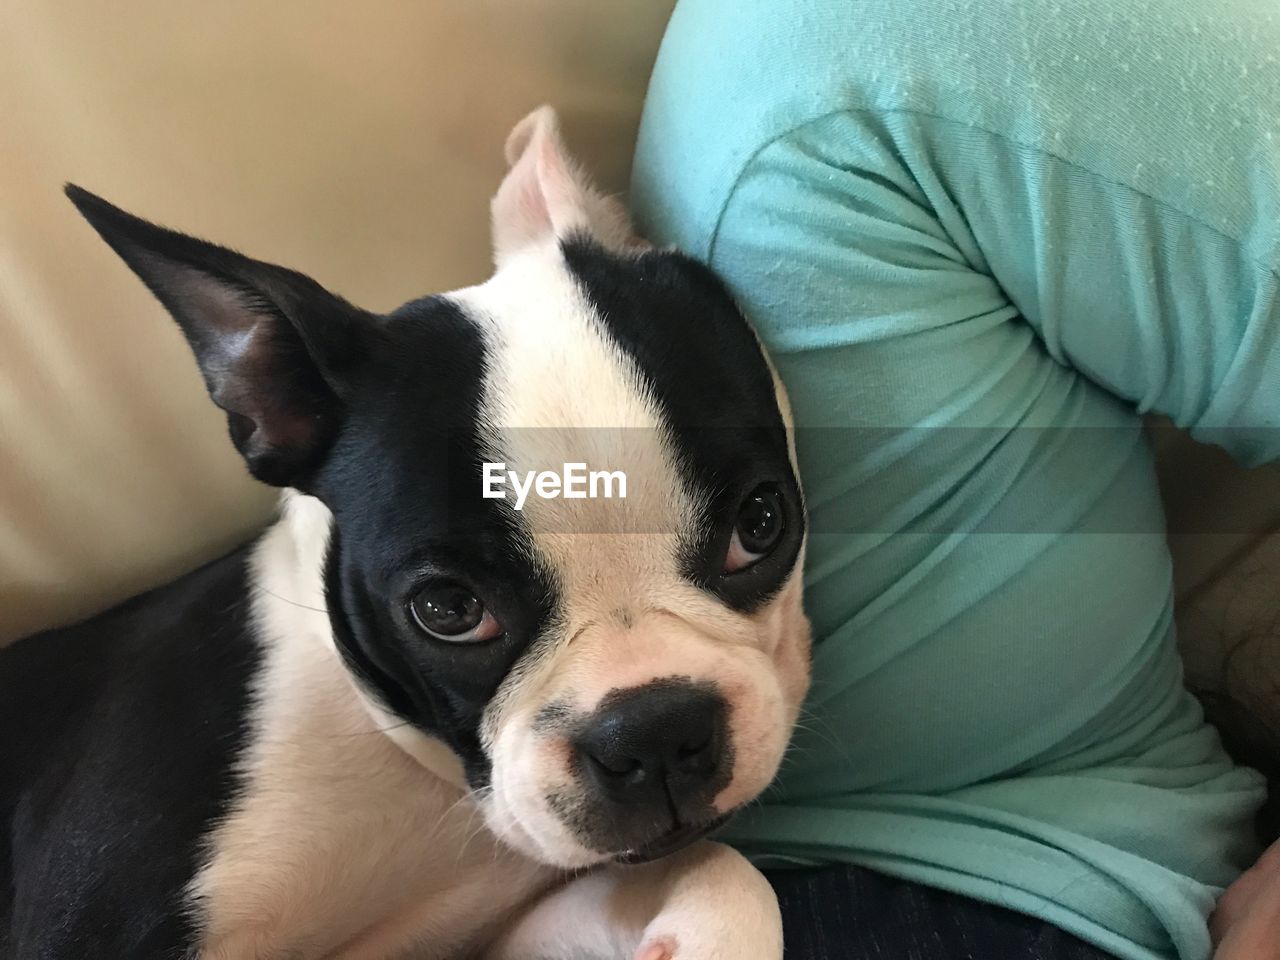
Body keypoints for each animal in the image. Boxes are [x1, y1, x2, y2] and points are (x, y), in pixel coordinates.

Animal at [2, 106, 808, 960]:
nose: (652, 730)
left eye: (760, 524)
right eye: (448, 610)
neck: (410, 767)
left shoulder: (504, 922)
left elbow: (726, 871)